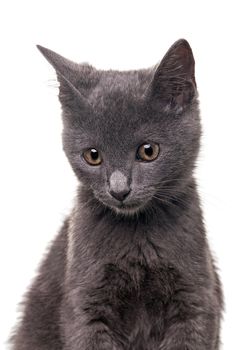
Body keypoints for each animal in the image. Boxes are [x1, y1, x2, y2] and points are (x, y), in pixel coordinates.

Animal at [10, 39, 223, 348]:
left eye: (148, 151)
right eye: (92, 155)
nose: (119, 189)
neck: (138, 235)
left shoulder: (196, 298)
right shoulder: (86, 302)